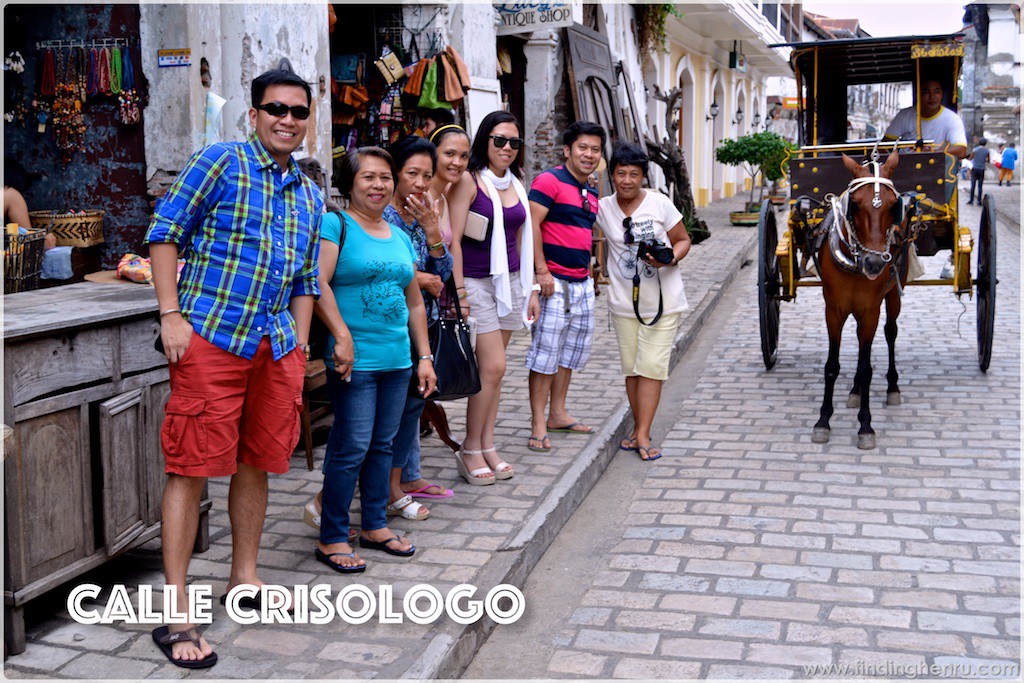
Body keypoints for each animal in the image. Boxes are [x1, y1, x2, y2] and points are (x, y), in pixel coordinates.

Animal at [811, 150, 917, 448]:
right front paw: (823, 421)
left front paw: (866, 426)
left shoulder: (870, 310)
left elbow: (866, 368)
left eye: (894, 206)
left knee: (890, 332)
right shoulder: (833, 309)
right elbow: (832, 366)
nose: (874, 263)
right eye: (854, 205)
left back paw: (892, 386)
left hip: (892, 295)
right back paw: (855, 392)